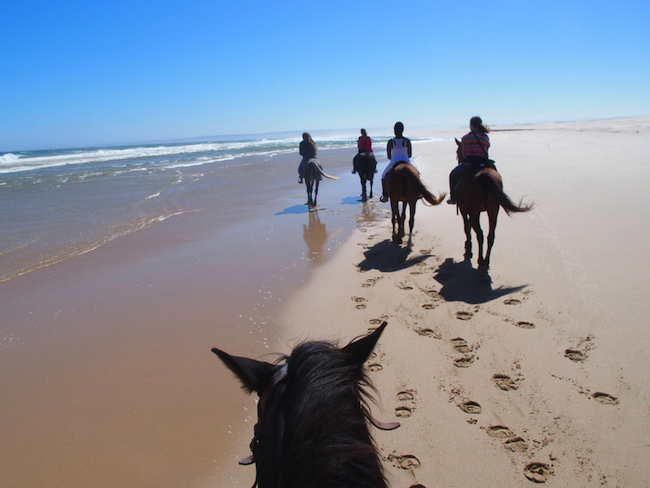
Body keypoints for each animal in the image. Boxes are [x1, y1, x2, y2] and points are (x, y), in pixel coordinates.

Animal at [450, 139, 532, 280]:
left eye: (457, 151)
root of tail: (484, 175)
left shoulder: (463, 209)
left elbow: (466, 227)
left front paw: (468, 249)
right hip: (493, 210)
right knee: (490, 235)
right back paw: (486, 262)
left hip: (475, 211)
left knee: (480, 234)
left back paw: (480, 262)